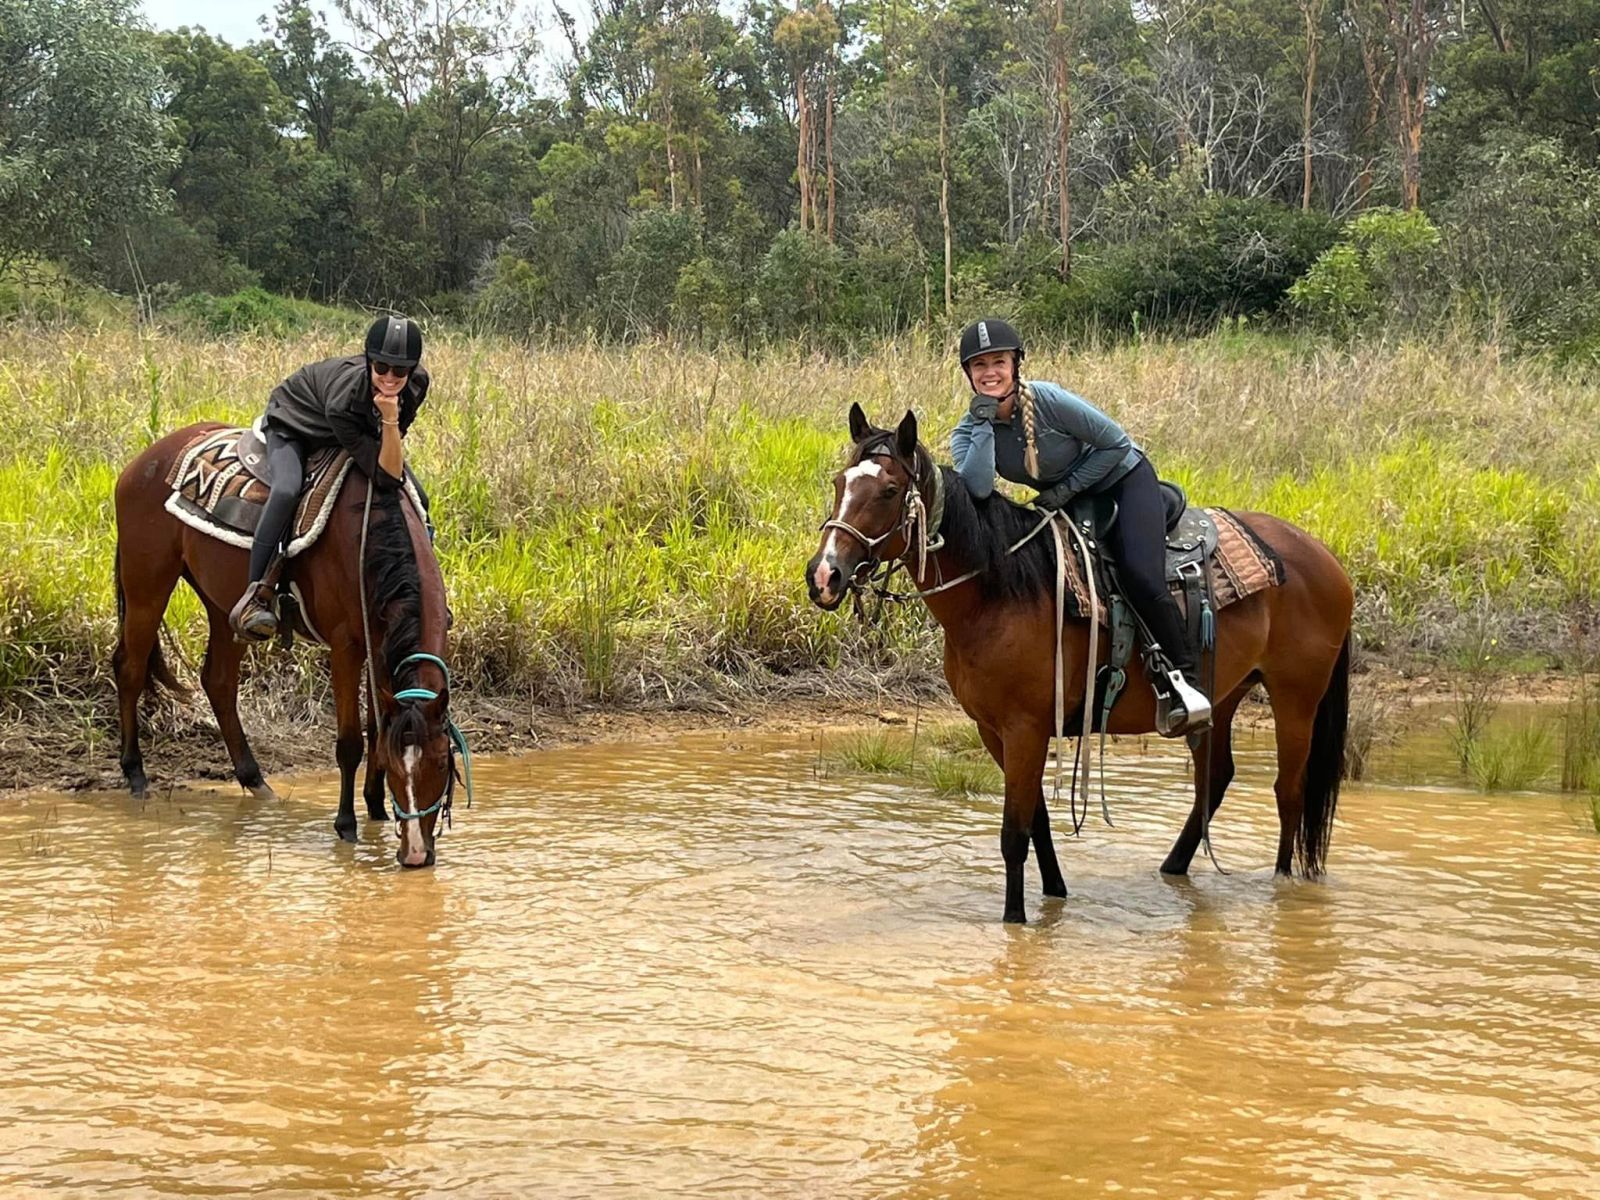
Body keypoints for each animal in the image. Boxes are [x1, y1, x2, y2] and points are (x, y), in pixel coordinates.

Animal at [113, 421, 460, 867]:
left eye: (442, 763)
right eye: (402, 772)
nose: (416, 855)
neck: (368, 540)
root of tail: (142, 462)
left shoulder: (380, 646)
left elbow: (377, 726)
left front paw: (376, 809)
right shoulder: (347, 645)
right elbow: (350, 741)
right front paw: (347, 825)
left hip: (222, 604)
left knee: (218, 681)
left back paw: (256, 782)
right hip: (147, 585)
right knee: (131, 668)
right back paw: (136, 774)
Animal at [806, 406, 1354, 924]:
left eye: (889, 490)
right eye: (838, 483)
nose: (824, 576)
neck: (998, 591)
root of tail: (1324, 556)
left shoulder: (1025, 728)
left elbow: (1014, 833)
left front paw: (1015, 921)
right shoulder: (995, 731)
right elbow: (1038, 823)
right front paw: (1055, 896)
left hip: (1296, 697)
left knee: (1289, 790)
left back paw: (1282, 887)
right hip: (1225, 693)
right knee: (1215, 779)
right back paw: (1173, 870)